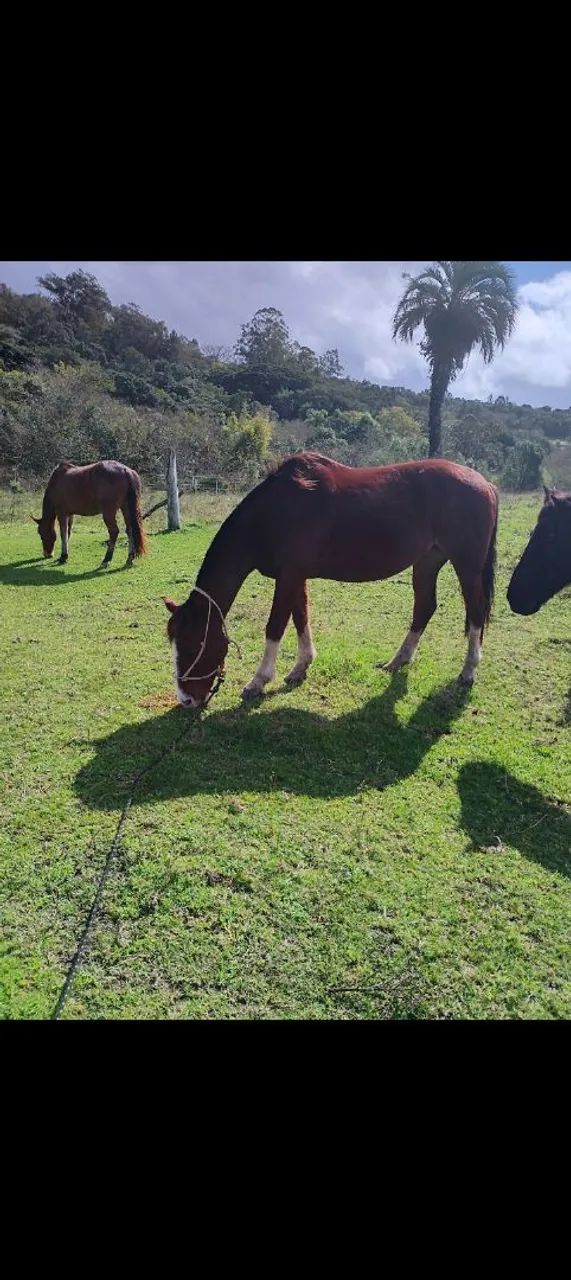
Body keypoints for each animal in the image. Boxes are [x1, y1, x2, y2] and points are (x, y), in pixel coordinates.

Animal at [164, 452, 498, 709]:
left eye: (193, 646)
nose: (187, 700)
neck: (274, 512)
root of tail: (486, 484)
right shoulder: (294, 577)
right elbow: (300, 618)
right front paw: (300, 667)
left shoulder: (288, 577)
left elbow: (275, 627)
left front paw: (258, 681)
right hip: (427, 562)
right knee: (425, 607)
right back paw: (397, 661)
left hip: (466, 565)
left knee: (476, 611)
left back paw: (468, 671)